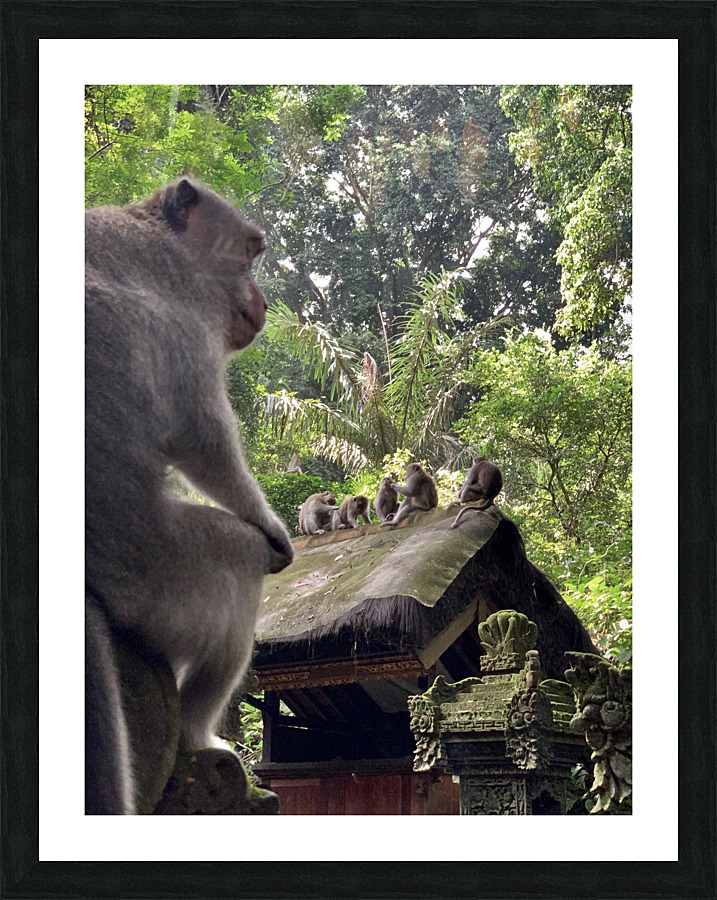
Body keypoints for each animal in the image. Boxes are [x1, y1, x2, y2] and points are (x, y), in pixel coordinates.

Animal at [85, 175, 294, 814]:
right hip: (160, 575)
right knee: (239, 568)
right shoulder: (186, 307)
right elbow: (200, 432)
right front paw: (272, 528)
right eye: (250, 254)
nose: (264, 302)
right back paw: (199, 736)